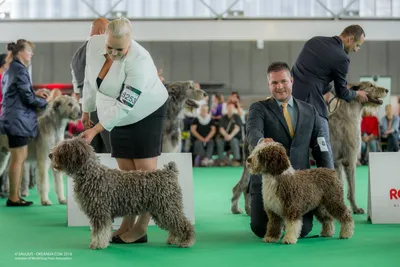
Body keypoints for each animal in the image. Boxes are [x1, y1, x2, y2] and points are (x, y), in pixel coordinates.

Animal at [48, 138, 195, 251]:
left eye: (64, 148)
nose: (50, 154)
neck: (91, 175)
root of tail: (169, 172)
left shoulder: (100, 212)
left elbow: (99, 231)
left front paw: (98, 244)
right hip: (161, 211)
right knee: (174, 226)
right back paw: (173, 239)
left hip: (168, 208)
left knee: (184, 224)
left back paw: (186, 241)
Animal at [328, 80, 388, 215]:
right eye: (371, 86)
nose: (387, 90)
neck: (351, 112)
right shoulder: (350, 158)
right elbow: (352, 187)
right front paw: (355, 208)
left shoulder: (337, 162)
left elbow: (340, 185)